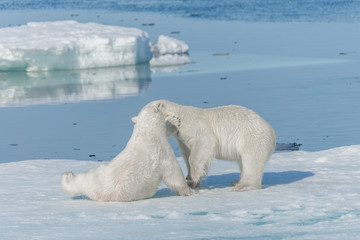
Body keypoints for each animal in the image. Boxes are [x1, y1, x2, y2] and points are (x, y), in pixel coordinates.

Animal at [61, 102, 194, 202]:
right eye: (159, 105)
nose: (160, 104)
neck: (146, 134)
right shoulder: (162, 151)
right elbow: (174, 174)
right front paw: (190, 191)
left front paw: (174, 121)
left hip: (91, 176)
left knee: (77, 181)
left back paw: (67, 175)